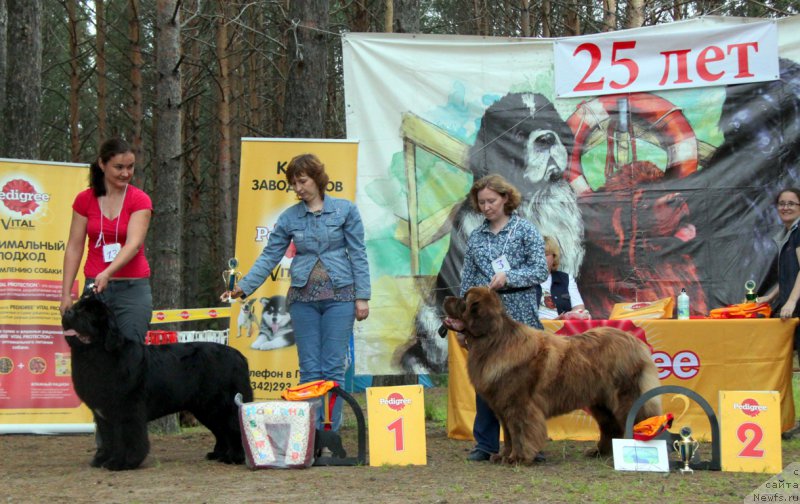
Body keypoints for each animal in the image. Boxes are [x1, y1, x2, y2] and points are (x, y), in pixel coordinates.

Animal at [62, 294, 253, 470]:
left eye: (88, 312)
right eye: (77, 307)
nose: (67, 312)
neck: (97, 354)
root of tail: (240, 356)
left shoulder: (128, 409)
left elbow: (127, 437)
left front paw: (123, 463)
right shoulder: (103, 414)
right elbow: (109, 439)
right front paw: (103, 460)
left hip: (222, 404)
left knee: (233, 427)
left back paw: (234, 457)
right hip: (205, 408)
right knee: (221, 431)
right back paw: (218, 454)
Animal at [444, 288, 664, 464]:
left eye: (464, 299)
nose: (445, 297)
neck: (494, 342)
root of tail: (636, 343)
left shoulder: (519, 405)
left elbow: (520, 432)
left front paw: (518, 458)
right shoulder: (503, 407)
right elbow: (508, 434)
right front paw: (504, 456)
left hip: (626, 398)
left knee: (640, 421)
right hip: (601, 403)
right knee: (610, 427)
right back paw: (599, 452)